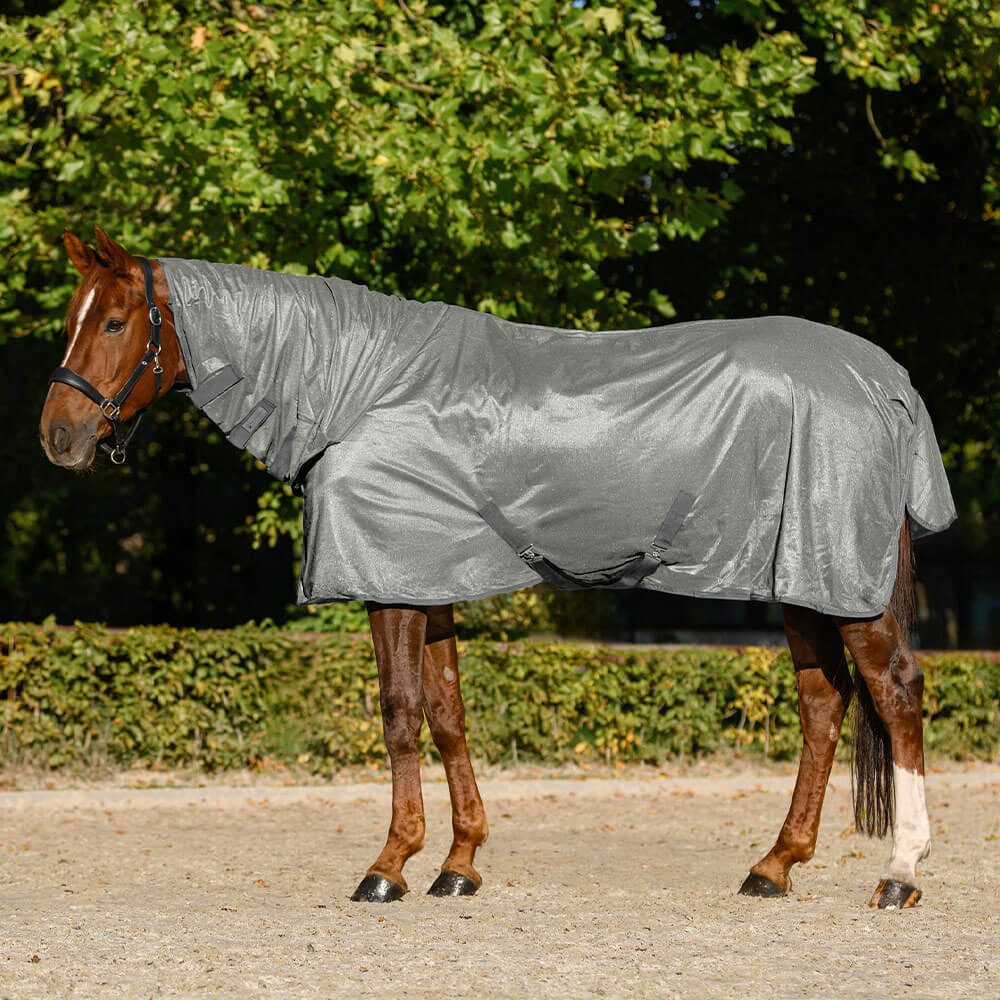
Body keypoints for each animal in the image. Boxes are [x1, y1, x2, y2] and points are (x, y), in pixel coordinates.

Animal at [39, 227, 951, 909]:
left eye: (114, 322)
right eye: (74, 318)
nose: (58, 437)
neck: (361, 389)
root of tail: (886, 381)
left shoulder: (390, 580)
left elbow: (400, 714)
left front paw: (388, 866)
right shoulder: (427, 580)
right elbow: (449, 714)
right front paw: (460, 862)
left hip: (844, 582)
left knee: (896, 694)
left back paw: (899, 873)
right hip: (801, 580)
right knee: (824, 706)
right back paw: (774, 865)